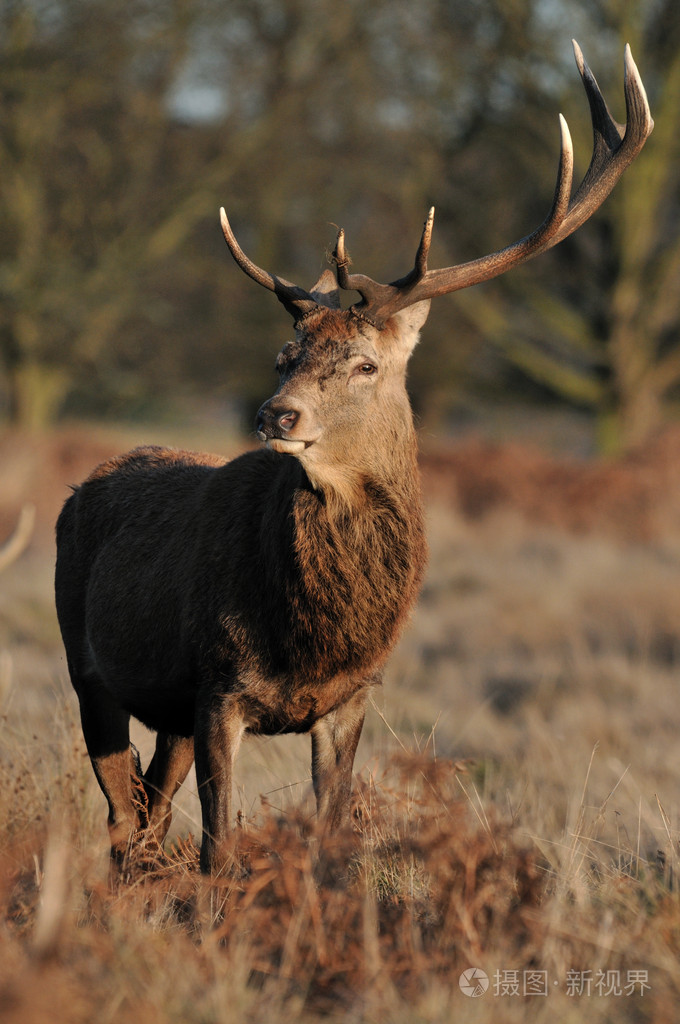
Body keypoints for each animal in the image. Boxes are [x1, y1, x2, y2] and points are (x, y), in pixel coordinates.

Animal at [54, 44, 655, 876]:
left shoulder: (352, 697)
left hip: (164, 709)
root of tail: (80, 488)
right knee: (121, 817)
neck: (313, 637)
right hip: (87, 669)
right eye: (284, 357)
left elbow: (330, 843)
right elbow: (219, 848)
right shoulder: (218, 685)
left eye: (366, 365)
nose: (276, 414)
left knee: (147, 809)